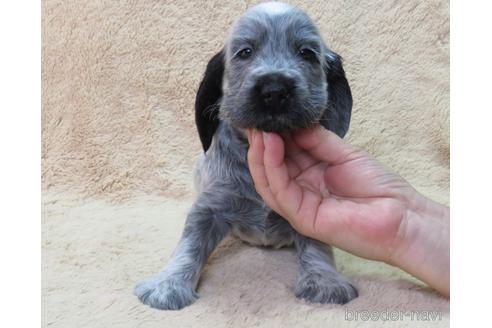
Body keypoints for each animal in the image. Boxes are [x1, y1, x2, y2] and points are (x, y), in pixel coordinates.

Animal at [135, 1, 358, 310]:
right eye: (245, 52)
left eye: (306, 53)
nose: (274, 90)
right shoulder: (209, 207)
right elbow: (189, 245)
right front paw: (168, 284)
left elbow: (317, 244)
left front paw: (325, 280)